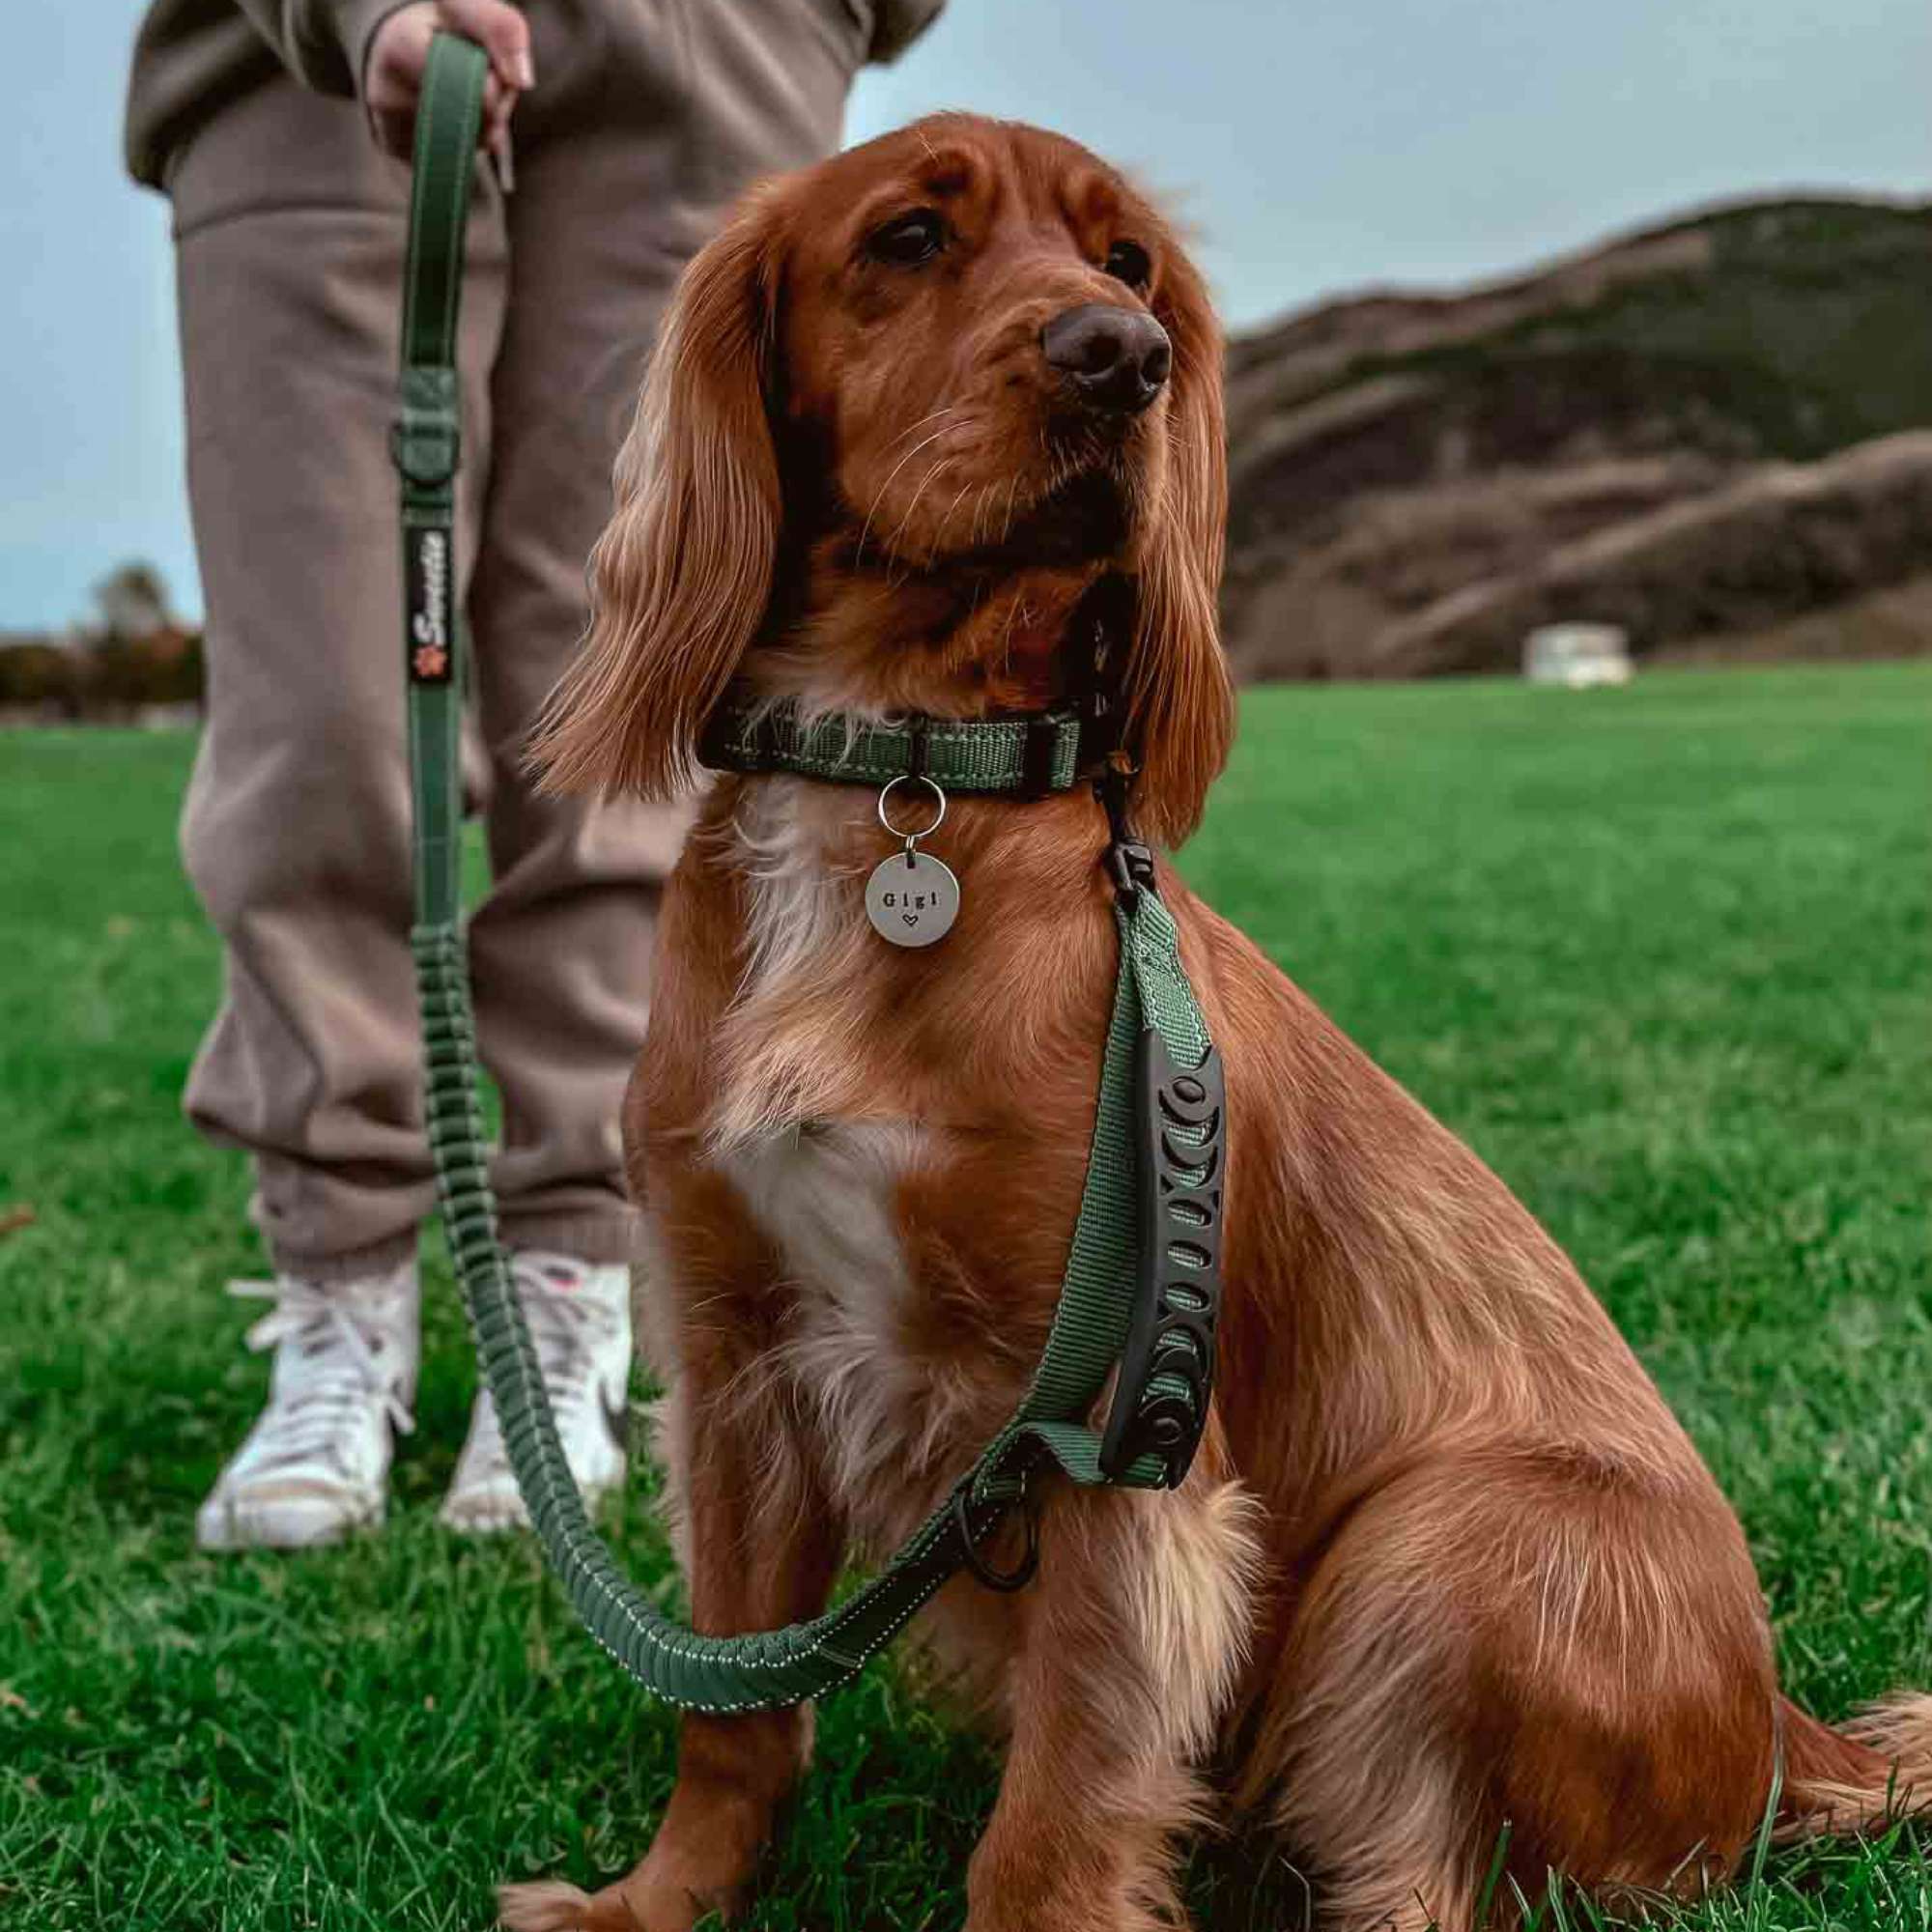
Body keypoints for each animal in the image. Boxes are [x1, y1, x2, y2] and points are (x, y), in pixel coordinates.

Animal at [502, 117, 1932, 1932]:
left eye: (1127, 265)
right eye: (906, 238)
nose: (1125, 361)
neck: (902, 777)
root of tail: (1781, 1731)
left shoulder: (1122, 1431)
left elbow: (1053, 1820)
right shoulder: (738, 1357)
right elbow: (736, 1717)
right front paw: (656, 1905)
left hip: (1443, 1537)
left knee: (1426, 1885)